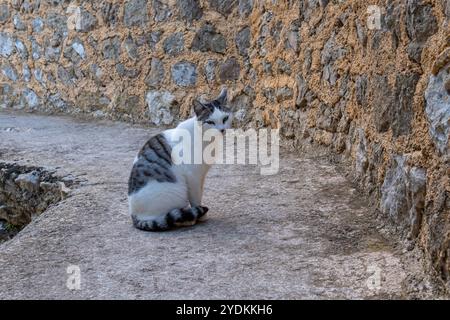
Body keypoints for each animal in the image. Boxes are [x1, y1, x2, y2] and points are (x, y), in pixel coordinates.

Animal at [126, 89, 232, 231]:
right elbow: (195, 198)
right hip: (176, 192)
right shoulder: (192, 176)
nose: (221, 130)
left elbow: (200, 193)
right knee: (167, 219)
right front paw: (201, 216)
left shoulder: (201, 176)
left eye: (225, 118)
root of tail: (134, 216)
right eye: (210, 122)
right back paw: (187, 219)